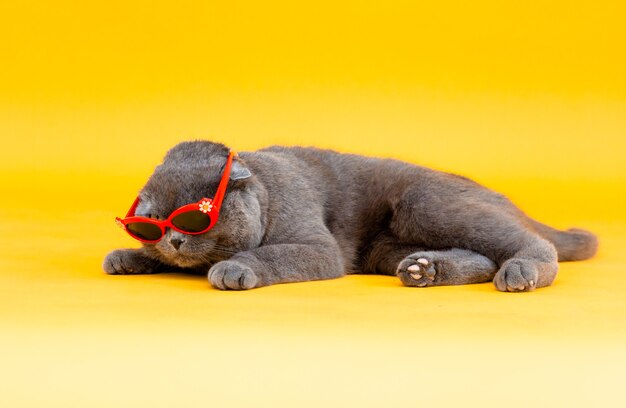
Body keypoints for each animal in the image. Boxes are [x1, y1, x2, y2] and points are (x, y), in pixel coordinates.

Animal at [101, 142, 596, 292]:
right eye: (151, 225)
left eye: (191, 219)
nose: (174, 240)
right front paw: (127, 256)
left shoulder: (318, 247)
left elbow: (271, 254)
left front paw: (233, 267)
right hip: (386, 247)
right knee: (482, 257)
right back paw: (425, 270)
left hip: (425, 202)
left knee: (529, 244)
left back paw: (522, 271)